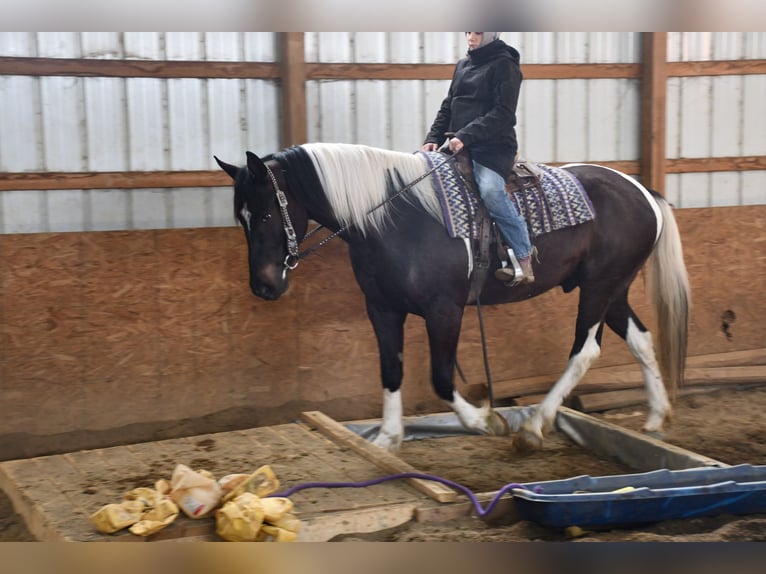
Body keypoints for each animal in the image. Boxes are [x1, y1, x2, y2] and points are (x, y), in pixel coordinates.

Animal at [215, 142, 690, 452]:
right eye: (241, 218)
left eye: (265, 213)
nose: (264, 286)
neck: (396, 219)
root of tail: (643, 192)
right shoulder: (382, 310)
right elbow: (391, 370)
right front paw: (387, 438)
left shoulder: (444, 311)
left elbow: (442, 378)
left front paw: (485, 420)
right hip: (613, 289)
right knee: (641, 339)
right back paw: (656, 417)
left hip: (598, 288)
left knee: (585, 350)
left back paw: (535, 426)